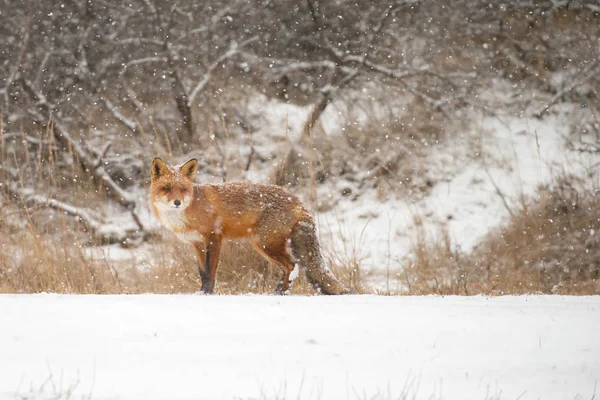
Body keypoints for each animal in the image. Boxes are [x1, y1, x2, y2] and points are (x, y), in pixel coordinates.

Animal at [150, 158, 354, 296]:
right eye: (167, 189)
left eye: (183, 189)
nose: (177, 202)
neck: (191, 210)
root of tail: (299, 201)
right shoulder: (197, 244)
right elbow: (202, 272)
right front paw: (201, 293)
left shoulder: (214, 238)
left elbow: (210, 271)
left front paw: (208, 293)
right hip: (263, 246)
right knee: (288, 268)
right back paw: (278, 292)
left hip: (266, 244)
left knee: (292, 265)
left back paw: (279, 293)